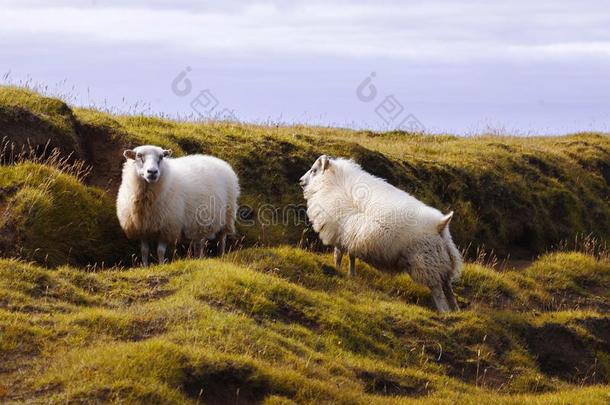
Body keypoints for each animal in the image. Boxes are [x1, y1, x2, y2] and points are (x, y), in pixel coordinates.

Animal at [300, 155, 460, 312]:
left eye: (314, 170)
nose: (300, 181)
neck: (331, 183)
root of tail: (440, 225)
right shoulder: (353, 235)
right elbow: (352, 257)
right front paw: (352, 274)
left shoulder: (339, 233)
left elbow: (338, 255)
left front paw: (337, 269)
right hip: (442, 263)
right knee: (448, 288)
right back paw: (455, 311)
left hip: (426, 264)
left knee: (438, 291)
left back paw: (444, 312)